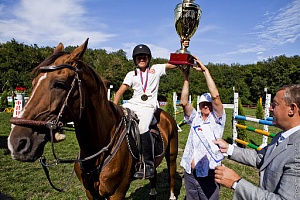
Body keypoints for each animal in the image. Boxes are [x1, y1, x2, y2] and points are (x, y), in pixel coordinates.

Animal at [7, 38, 178, 199]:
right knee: (154, 176)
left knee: (171, 175)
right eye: (34, 82)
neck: (99, 146)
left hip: (171, 156)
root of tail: (165, 114)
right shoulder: (91, 193)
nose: (17, 143)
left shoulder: (117, 193)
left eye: (59, 84)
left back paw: (172, 195)